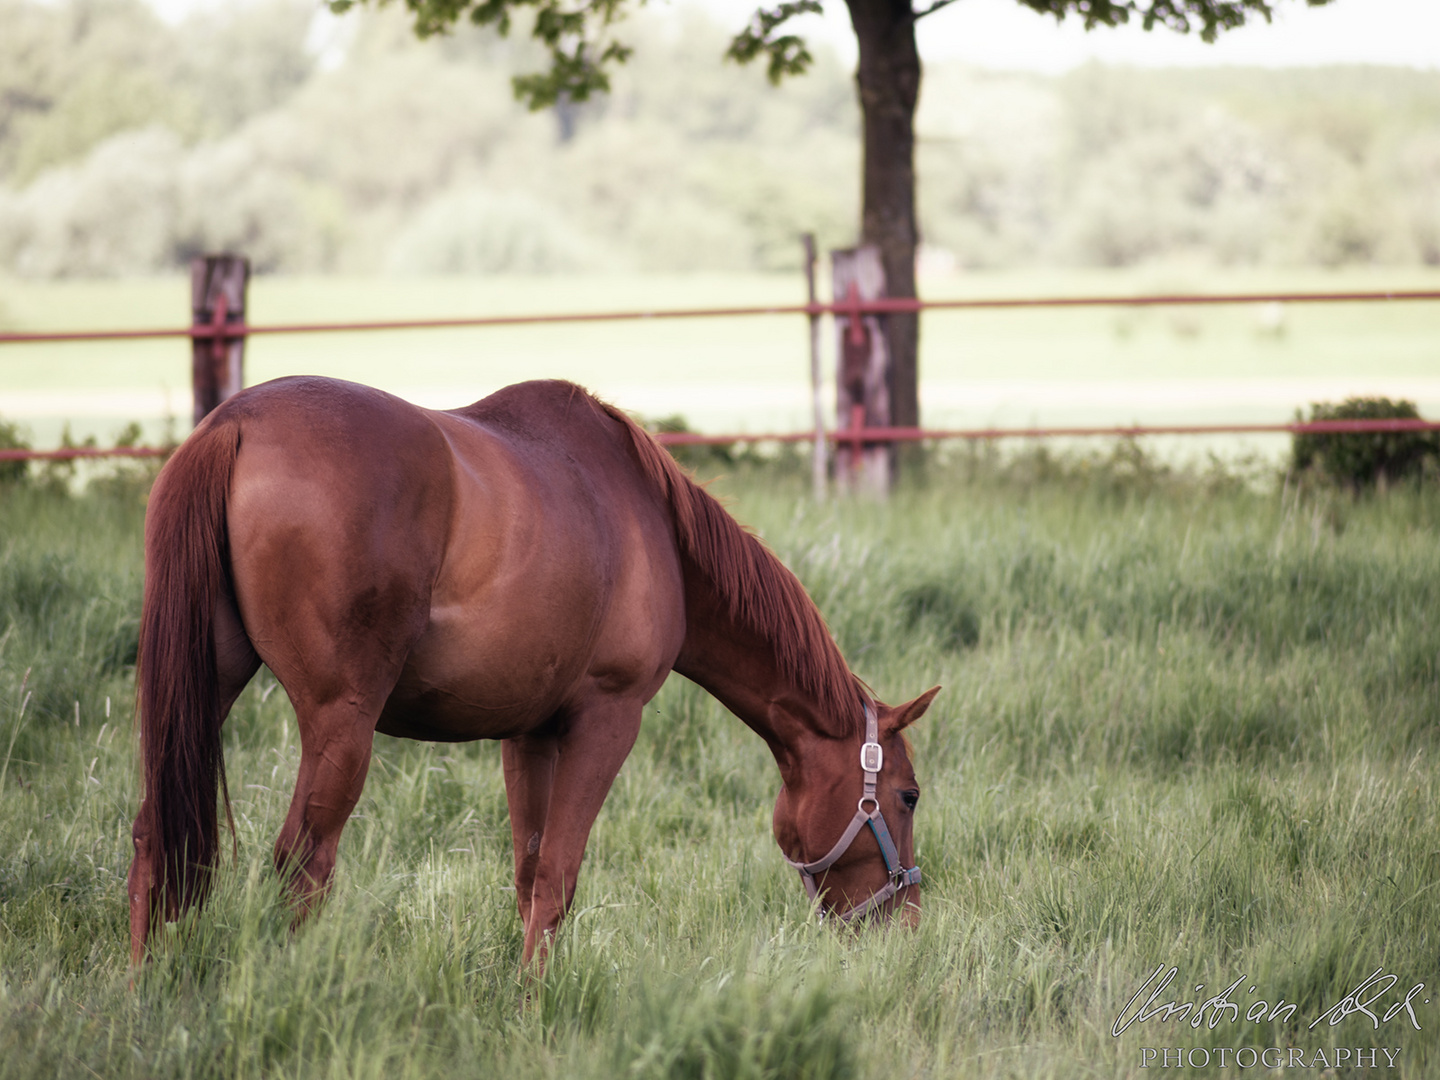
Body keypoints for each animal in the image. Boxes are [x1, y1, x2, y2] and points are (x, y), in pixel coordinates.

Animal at [129, 377, 938, 967]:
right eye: (908, 796)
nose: (909, 926)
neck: (650, 525)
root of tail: (236, 423)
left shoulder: (529, 735)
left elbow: (527, 876)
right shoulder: (606, 722)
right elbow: (557, 879)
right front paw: (533, 1008)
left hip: (202, 694)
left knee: (153, 835)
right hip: (340, 724)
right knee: (303, 862)